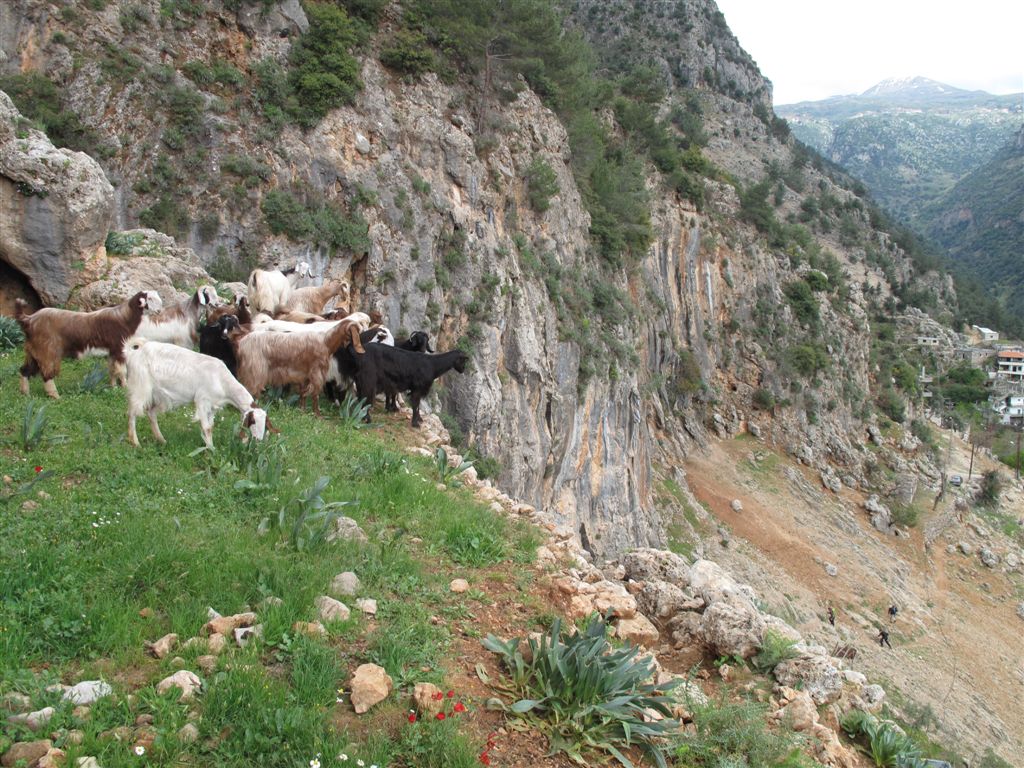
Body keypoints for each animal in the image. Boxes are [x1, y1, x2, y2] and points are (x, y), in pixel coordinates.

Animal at [16, 290, 161, 399]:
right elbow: (121, 370)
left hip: (33, 351)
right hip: (47, 351)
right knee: (47, 374)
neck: (125, 318)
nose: (159, 311)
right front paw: (124, 388)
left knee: (24, 370)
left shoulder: (112, 351)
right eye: (150, 298)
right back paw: (56, 396)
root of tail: (29, 320)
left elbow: (112, 370)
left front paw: (113, 387)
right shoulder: (120, 348)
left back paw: (25, 394)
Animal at [123, 337, 272, 450]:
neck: (222, 380)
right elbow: (206, 427)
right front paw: (211, 449)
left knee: (151, 413)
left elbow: (210, 427)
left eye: (265, 423)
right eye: (253, 422)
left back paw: (161, 440)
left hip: (160, 397)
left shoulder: (212, 406)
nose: (258, 440)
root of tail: (134, 352)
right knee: (132, 413)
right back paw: (135, 442)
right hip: (140, 388)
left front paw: (208, 446)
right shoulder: (202, 400)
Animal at [231, 315, 368, 417]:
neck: (325, 341)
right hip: (256, 370)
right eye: (358, 330)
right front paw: (318, 415)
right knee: (250, 390)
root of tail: (242, 342)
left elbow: (303, 394)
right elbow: (315, 395)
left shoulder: (305, 375)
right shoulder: (316, 374)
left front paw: (302, 410)